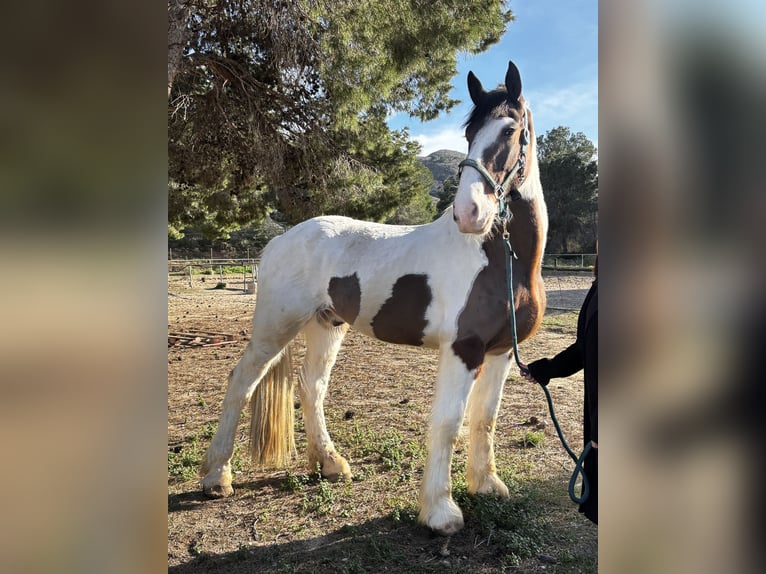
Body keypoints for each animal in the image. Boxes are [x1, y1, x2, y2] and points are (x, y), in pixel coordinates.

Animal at [201, 60, 548, 536]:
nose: (468, 214)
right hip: (276, 326)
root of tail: (279, 241)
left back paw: (330, 464)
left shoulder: (499, 351)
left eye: (511, 130)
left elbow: (485, 417)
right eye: (468, 133)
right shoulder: (463, 349)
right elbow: (448, 422)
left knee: (311, 386)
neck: (500, 259)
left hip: (326, 325)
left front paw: (487, 485)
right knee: (241, 383)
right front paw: (440, 511)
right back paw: (217, 477)